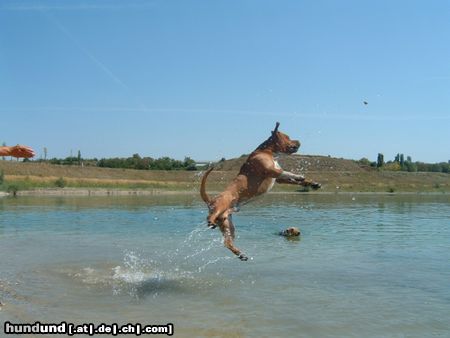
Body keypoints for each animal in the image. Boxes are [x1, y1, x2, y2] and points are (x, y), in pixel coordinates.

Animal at [200, 123, 320, 260]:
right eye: (288, 137)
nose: (299, 141)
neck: (268, 152)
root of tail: (211, 200)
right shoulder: (271, 171)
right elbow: (288, 173)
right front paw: (299, 175)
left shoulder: (278, 178)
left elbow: (293, 180)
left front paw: (312, 183)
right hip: (223, 204)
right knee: (209, 217)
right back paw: (210, 222)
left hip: (227, 224)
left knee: (227, 242)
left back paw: (241, 254)